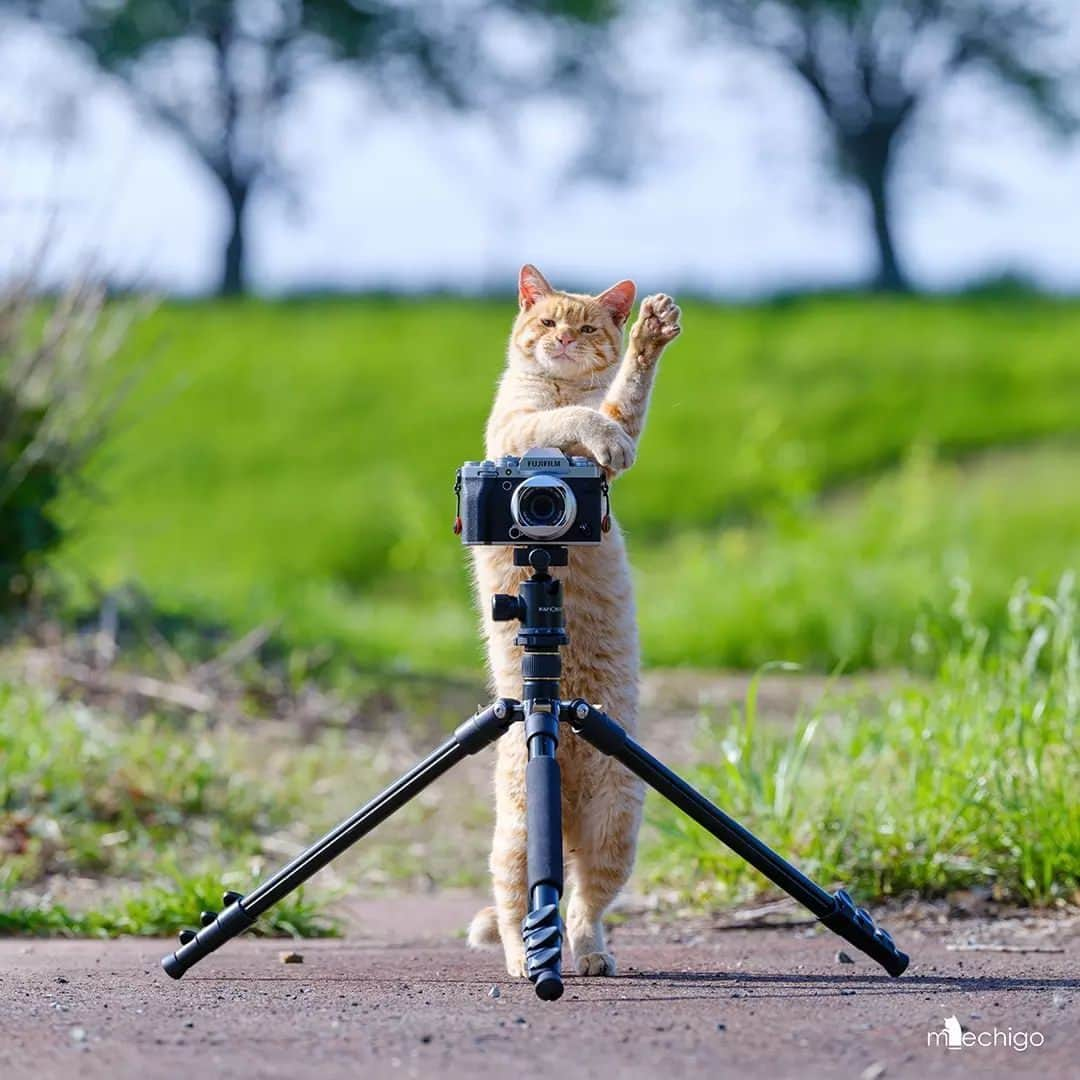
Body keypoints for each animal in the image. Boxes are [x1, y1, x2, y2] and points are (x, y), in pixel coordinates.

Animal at [466, 263, 682, 980]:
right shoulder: (516, 428)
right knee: (521, 908)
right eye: (547, 320)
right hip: (518, 838)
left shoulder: (614, 429)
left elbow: (618, 404)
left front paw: (651, 331)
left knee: (585, 902)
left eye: (586, 327)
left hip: (617, 821)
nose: (561, 338)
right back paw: (522, 960)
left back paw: (587, 954)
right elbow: (575, 416)